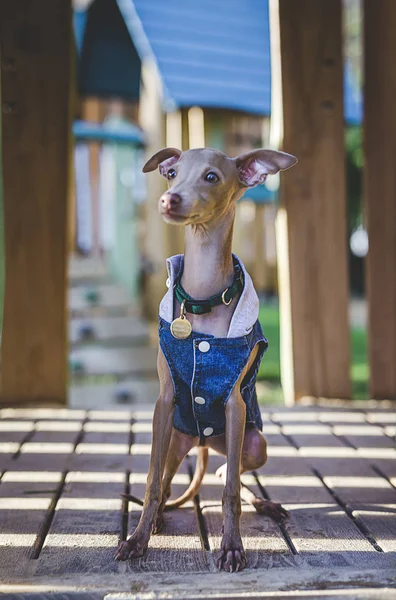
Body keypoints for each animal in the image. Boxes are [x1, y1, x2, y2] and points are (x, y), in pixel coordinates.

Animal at [116, 146, 296, 572]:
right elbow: (151, 482)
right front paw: (137, 540)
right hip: (175, 440)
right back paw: (159, 517)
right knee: (167, 482)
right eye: (172, 173)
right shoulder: (164, 402)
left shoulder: (235, 405)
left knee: (228, 473)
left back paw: (264, 503)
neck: (202, 298)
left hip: (252, 443)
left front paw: (232, 547)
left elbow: (230, 490)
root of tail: (201, 442)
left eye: (212, 177)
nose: (169, 200)